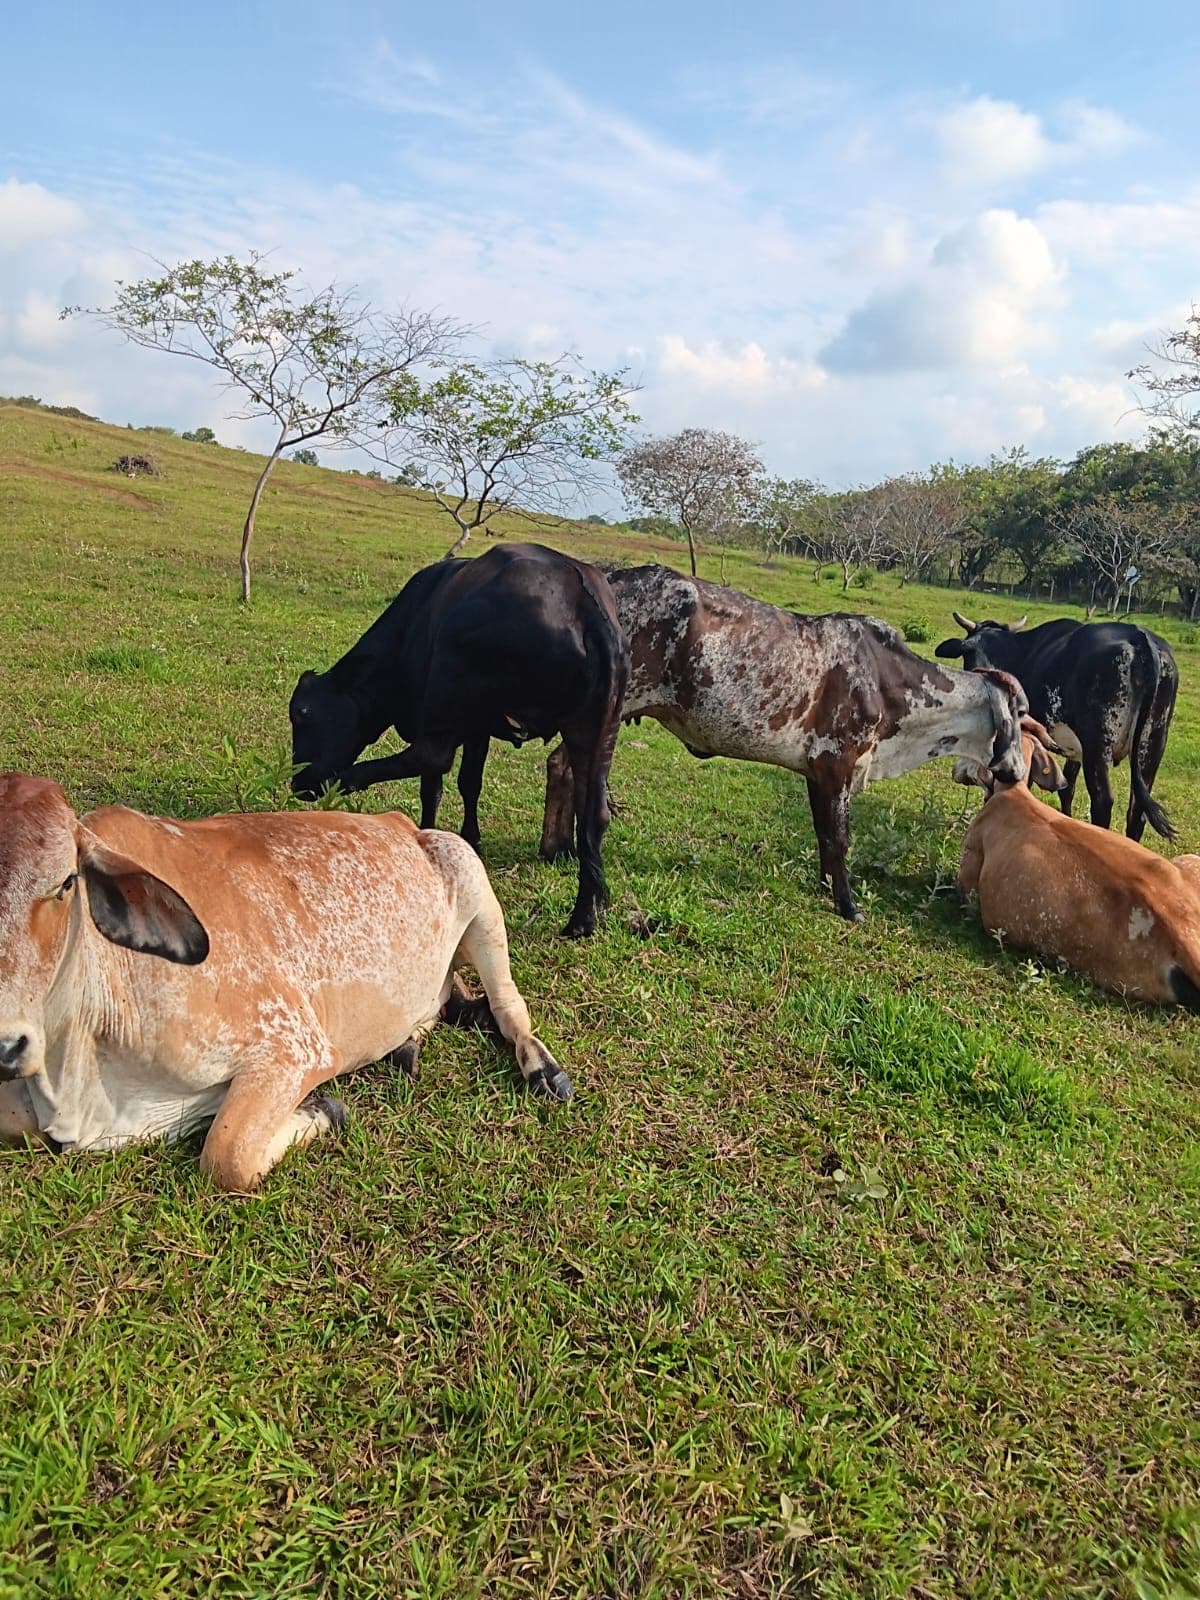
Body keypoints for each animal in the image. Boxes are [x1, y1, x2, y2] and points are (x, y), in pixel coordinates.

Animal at [0, 773, 572, 1191]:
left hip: (472, 881)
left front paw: (324, 1110)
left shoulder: (294, 1048)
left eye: (65, 883)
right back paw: (405, 1045)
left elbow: (226, 1155)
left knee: (509, 1010)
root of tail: (403, 822)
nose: (7, 1045)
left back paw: (543, 1069)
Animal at [289, 544, 628, 939]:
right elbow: (469, 783)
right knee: (594, 815)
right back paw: (584, 915)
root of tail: (582, 600)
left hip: (450, 692)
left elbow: (433, 785)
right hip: (594, 730)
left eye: (302, 713)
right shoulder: (478, 727)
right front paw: (471, 839)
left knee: (429, 756)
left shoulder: (447, 718)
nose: (299, 782)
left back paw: (345, 782)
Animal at [536, 566, 1030, 923]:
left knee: (560, 766)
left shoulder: (818, 772)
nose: (1017, 772)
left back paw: (556, 849)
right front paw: (848, 906)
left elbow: (823, 835)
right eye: (1022, 713)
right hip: (608, 713)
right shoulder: (837, 764)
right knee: (568, 768)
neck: (889, 679)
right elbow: (839, 837)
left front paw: (828, 887)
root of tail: (607, 580)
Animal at [934, 613, 1178, 841]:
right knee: (1137, 811)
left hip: (1098, 746)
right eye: (967, 650)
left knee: (1103, 802)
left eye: (1003, 652)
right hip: (1152, 744)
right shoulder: (1075, 751)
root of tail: (1138, 636)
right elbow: (1067, 787)